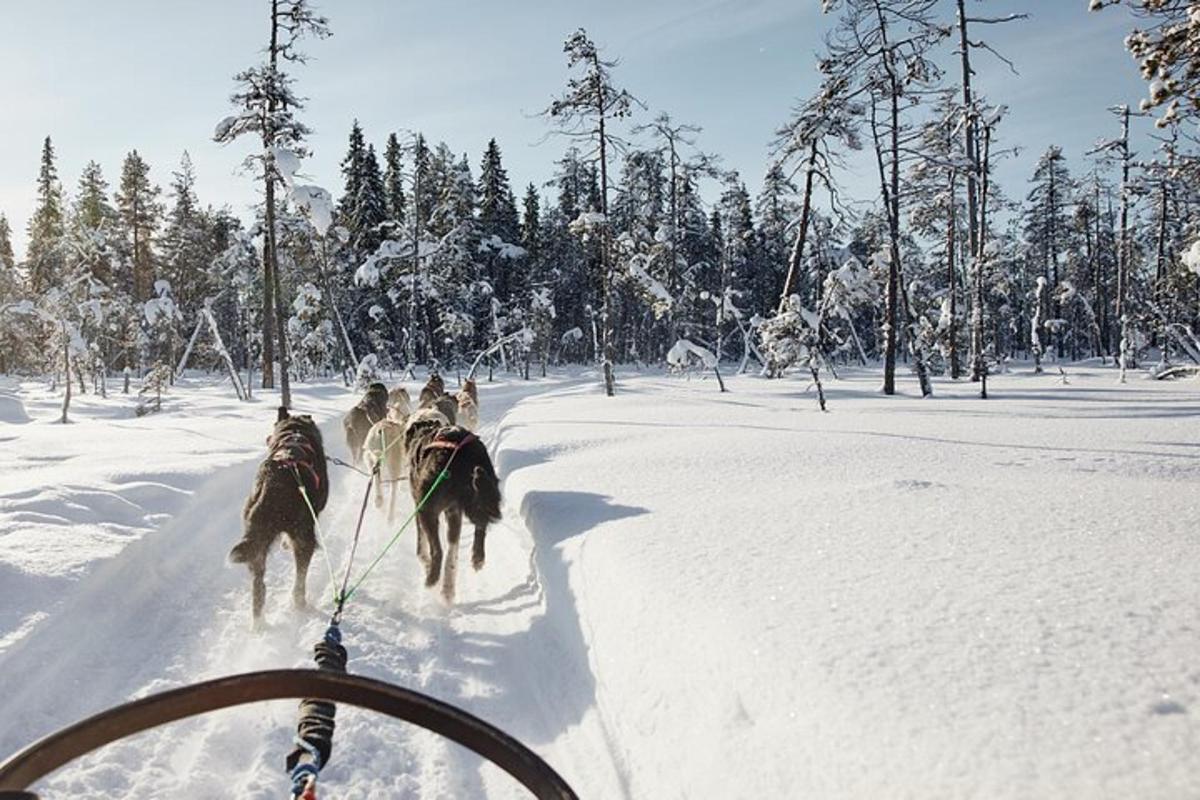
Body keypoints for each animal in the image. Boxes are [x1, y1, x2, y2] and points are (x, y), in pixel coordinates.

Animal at [229, 407, 328, 623]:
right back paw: (300, 603)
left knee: (259, 588)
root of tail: (273, 481)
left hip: (256, 545)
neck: (295, 431)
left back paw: (258, 623)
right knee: (299, 579)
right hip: (304, 538)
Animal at [403, 407, 496, 599]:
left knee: (438, 551)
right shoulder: (454, 511)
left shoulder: (419, 506)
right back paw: (472, 563)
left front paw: (424, 562)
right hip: (478, 495)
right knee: (471, 534)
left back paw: (432, 578)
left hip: (427, 507)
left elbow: (421, 546)